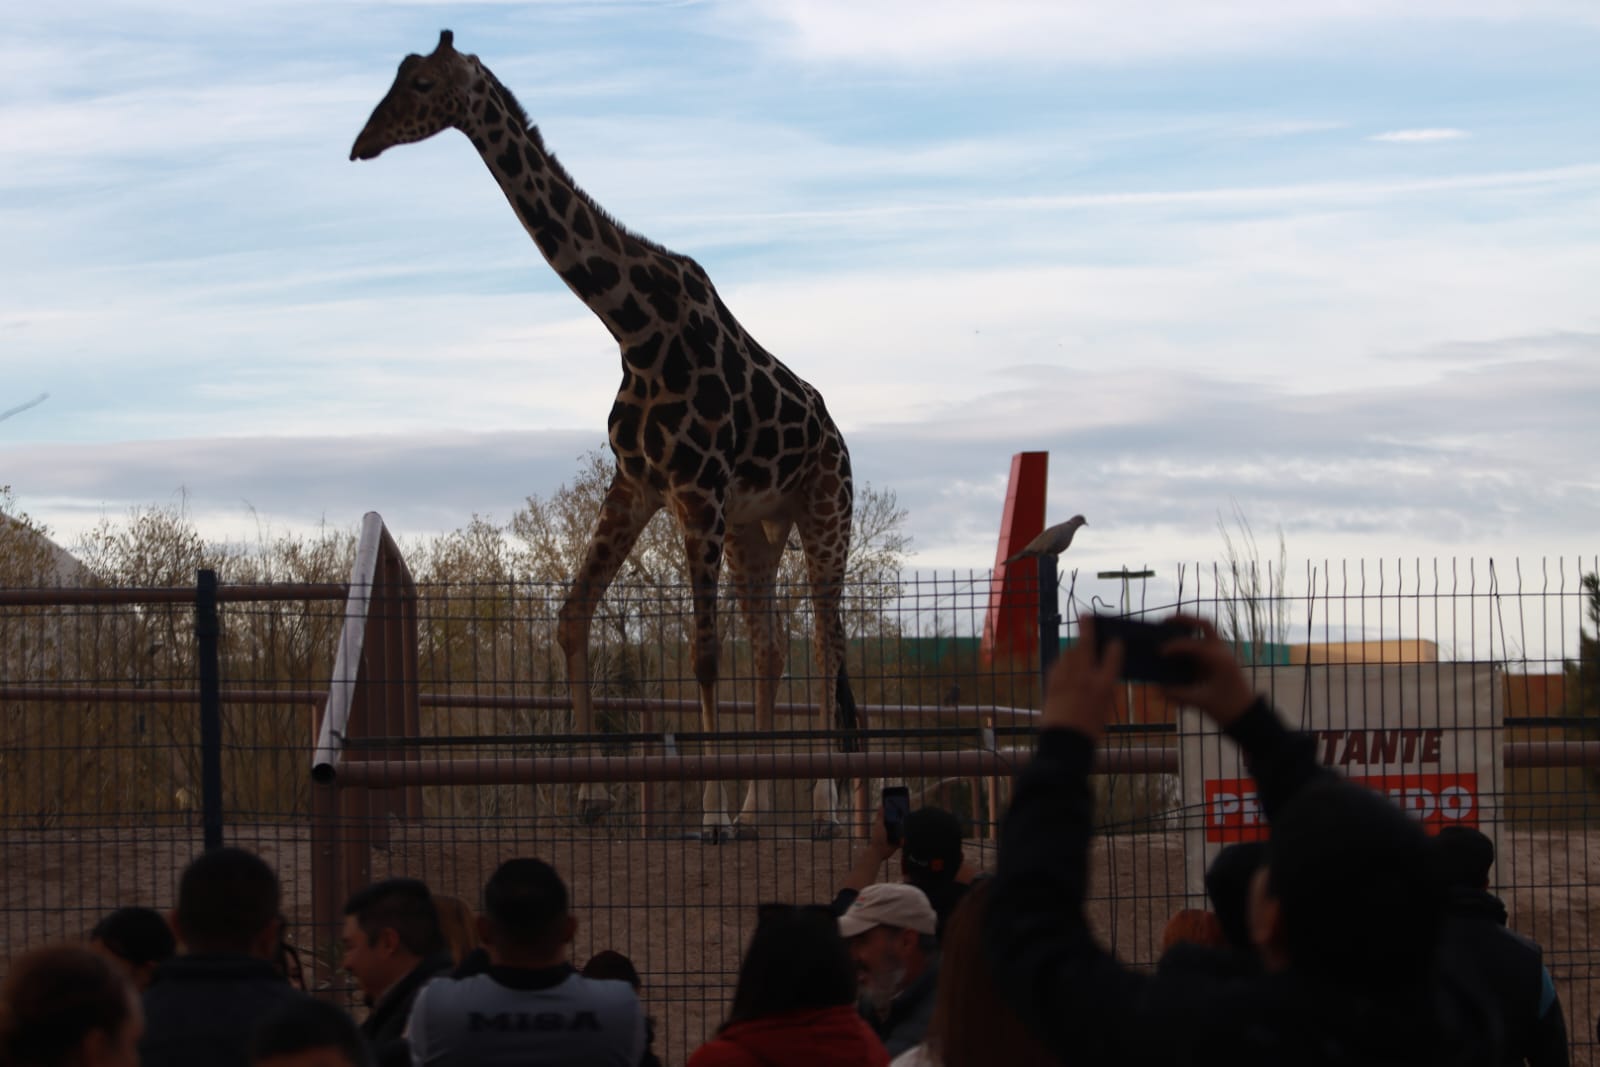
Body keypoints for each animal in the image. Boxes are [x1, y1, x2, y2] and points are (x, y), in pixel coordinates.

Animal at [352, 31, 864, 844]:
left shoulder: (697, 489)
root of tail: (839, 437)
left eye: (423, 84)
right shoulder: (639, 483)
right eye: (395, 77)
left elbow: (702, 654)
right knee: (773, 644)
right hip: (757, 528)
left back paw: (821, 812)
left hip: (825, 511)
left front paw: (709, 814)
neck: (633, 324)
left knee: (828, 643)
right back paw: (759, 808)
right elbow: (572, 618)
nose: (360, 143)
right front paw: (592, 795)